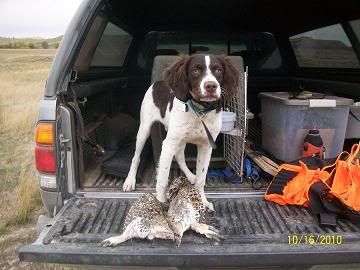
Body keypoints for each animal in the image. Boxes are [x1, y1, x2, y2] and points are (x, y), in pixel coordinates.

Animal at [124, 54, 239, 211]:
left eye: (218, 70)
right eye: (195, 70)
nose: (211, 86)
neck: (200, 111)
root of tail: (158, 82)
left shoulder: (206, 146)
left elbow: (201, 178)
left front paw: (202, 200)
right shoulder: (168, 144)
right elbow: (162, 180)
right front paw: (161, 203)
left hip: (180, 139)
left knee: (179, 157)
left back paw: (191, 176)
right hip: (144, 129)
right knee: (136, 157)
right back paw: (130, 180)